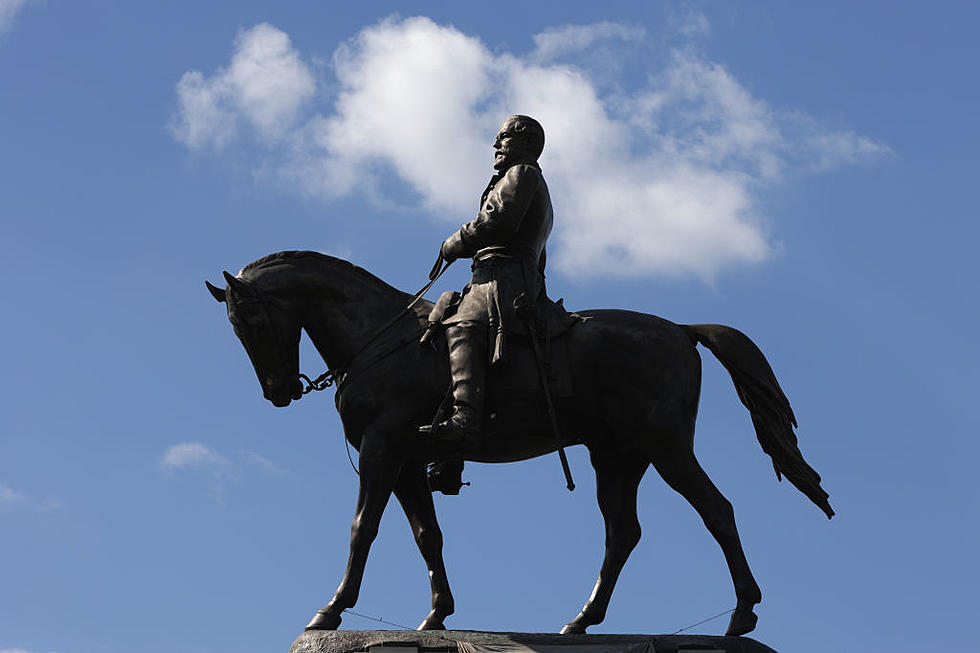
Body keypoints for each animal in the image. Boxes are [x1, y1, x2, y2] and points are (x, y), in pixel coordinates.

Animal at [207, 250, 836, 636]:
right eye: (234, 328)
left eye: (253, 322)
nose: (279, 391)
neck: (380, 338)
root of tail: (681, 331)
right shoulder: (408, 461)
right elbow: (427, 535)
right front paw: (437, 615)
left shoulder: (382, 450)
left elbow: (364, 527)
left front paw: (332, 609)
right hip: (618, 457)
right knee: (622, 533)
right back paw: (582, 620)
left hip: (666, 448)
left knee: (717, 511)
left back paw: (742, 614)